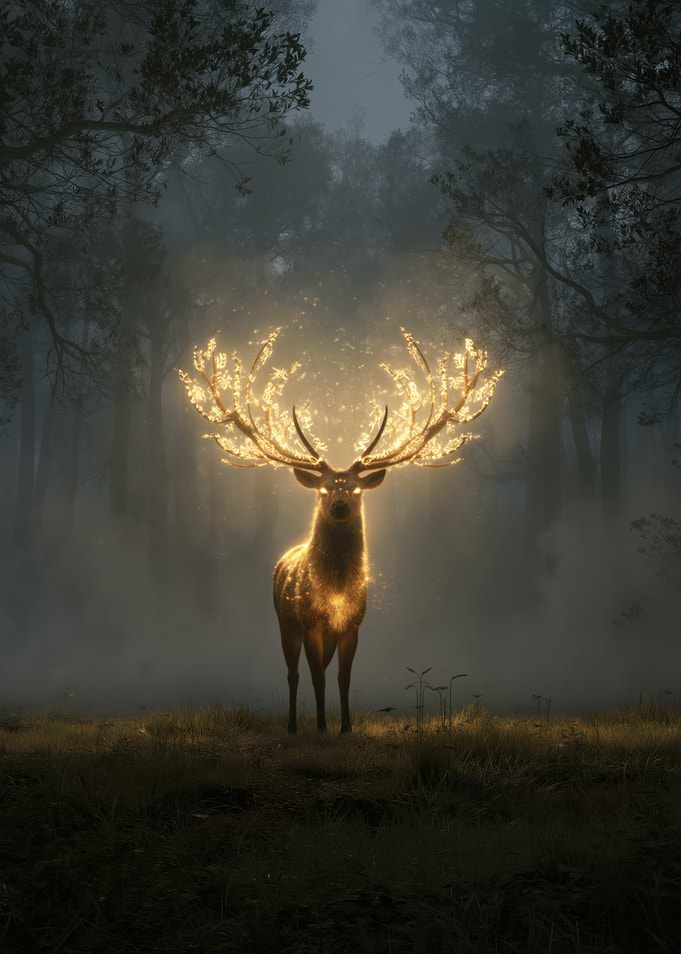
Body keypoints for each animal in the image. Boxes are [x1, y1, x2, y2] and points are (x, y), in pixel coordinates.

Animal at [179, 328, 503, 734]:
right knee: (293, 674)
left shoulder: (352, 625)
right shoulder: (310, 622)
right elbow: (316, 676)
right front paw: (320, 726)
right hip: (284, 621)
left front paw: (346, 725)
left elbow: (343, 678)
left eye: (357, 489)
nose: (339, 505)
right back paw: (293, 725)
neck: (334, 594)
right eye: (323, 488)